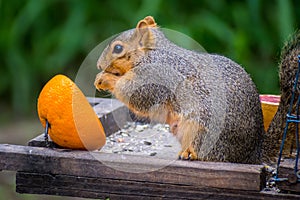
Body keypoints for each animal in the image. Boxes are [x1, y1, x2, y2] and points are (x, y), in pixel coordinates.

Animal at [94, 16, 300, 164]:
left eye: (118, 48)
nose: (98, 65)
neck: (152, 54)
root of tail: (251, 154)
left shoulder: (156, 75)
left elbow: (136, 95)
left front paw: (104, 79)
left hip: (204, 128)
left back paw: (189, 153)